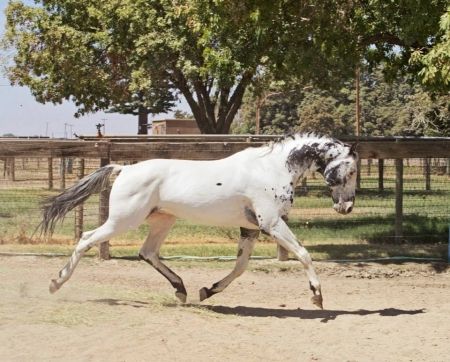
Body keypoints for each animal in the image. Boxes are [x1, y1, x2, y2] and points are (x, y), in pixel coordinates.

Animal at [42, 133, 358, 308]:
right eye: (353, 170)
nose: (347, 207)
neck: (271, 168)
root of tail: (124, 169)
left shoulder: (251, 228)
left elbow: (240, 267)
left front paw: (207, 291)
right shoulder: (271, 223)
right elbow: (303, 253)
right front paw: (317, 297)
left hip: (163, 221)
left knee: (147, 252)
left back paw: (181, 290)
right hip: (124, 220)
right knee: (86, 239)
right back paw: (56, 283)